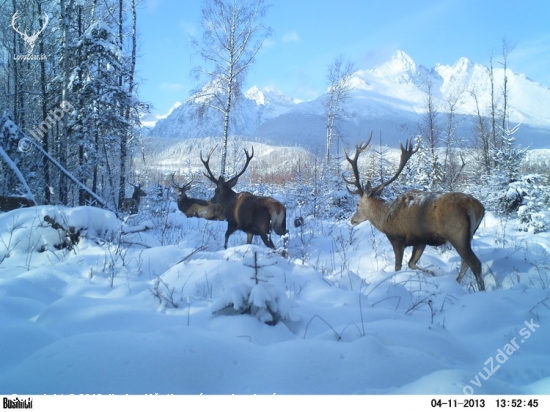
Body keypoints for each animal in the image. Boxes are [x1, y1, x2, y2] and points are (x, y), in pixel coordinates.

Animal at [342, 134, 490, 292]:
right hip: (468, 235)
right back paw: (456, 283)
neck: (384, 218)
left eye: (358, 204)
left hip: (456, 233)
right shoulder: (420, 240)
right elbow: (411, 263)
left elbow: (398, 267)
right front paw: (433, 272)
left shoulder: (397, 238)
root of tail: (477, 206)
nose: (352, 220)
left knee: (474, 263)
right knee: (465, 262)